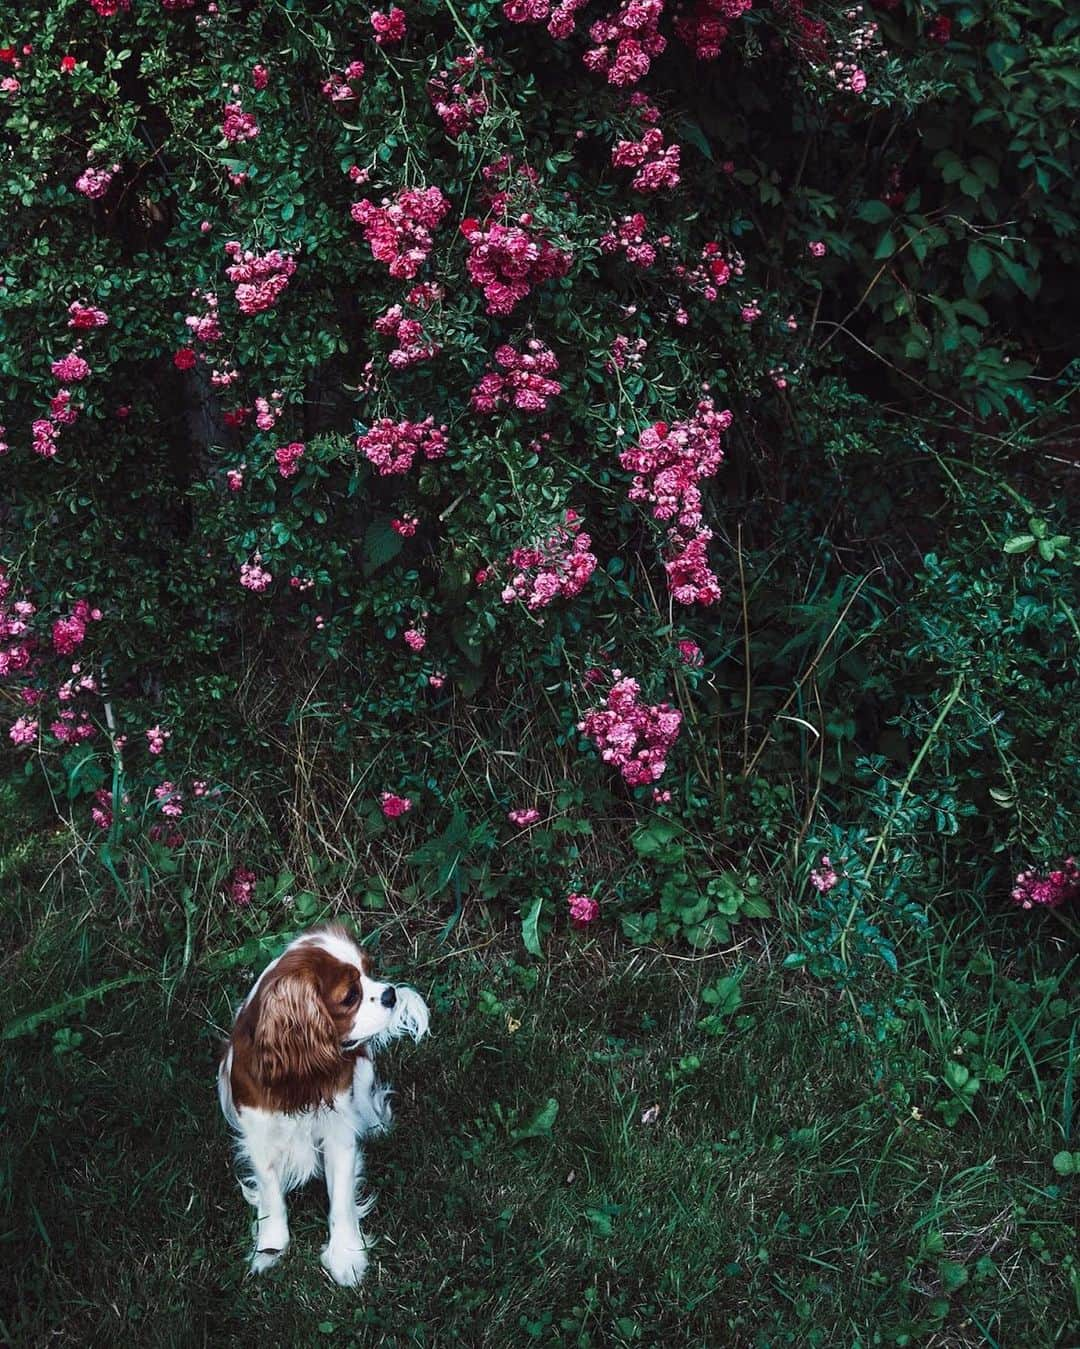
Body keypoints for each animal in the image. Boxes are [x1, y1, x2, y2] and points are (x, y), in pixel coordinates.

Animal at [217, 928, 428, 1284]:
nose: (389, 994)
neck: (296, 1075)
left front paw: (346, 1255)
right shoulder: (260, 1136)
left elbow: (341, 1198)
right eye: (350, 996)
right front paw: (270, 1248)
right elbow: (271, 1195)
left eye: (369, 970)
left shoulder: (338, 1131)